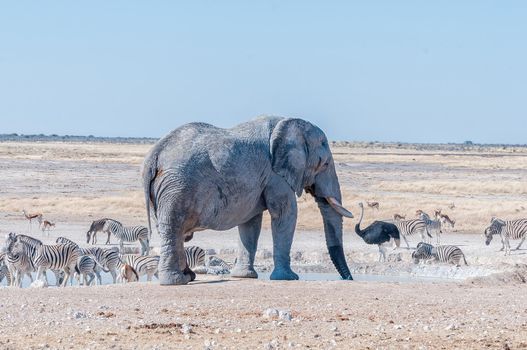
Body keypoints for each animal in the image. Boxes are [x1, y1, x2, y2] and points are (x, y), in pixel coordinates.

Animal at [143, 116, 354, 286]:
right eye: (324, 164)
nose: (348, 279)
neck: (288, 123)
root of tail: (154, 155)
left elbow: (250, 223)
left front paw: (244, 276)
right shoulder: (275, 175)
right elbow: (285, 213)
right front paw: (288, 278)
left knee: (172, 231)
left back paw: (188, 277)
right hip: (176, 188)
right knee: (173, 226)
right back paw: (175, 281)